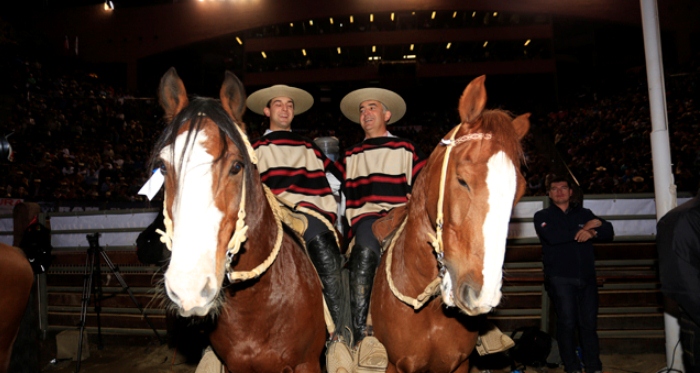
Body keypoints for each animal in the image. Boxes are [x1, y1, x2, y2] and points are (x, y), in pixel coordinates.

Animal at [370, 74, 528, 370]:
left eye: (519, 191)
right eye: (462, 179)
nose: (482, 294)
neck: (429, 308)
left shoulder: (460, 364)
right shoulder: (396, 365)